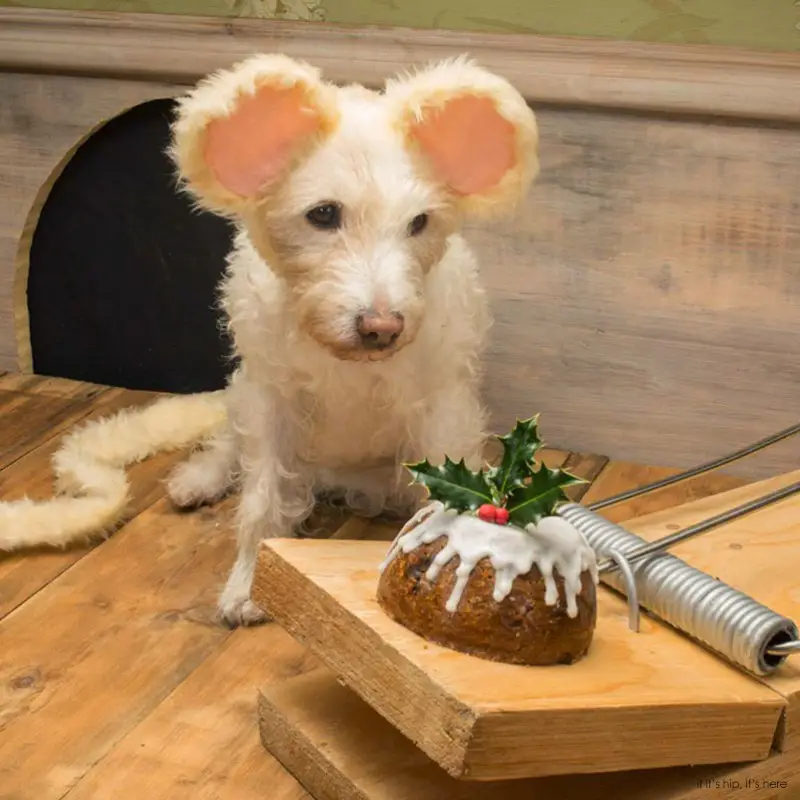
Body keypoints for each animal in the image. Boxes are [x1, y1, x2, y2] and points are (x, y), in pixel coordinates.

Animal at [0, 54, 540, 632]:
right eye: (323, 214)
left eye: (419, 223)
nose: (381, 327)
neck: (343, 361)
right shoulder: (270, 401)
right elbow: (260, 501)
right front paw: (246, 585)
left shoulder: (442, 411)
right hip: (243, 391)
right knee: (229, 442)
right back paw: (200, 478)